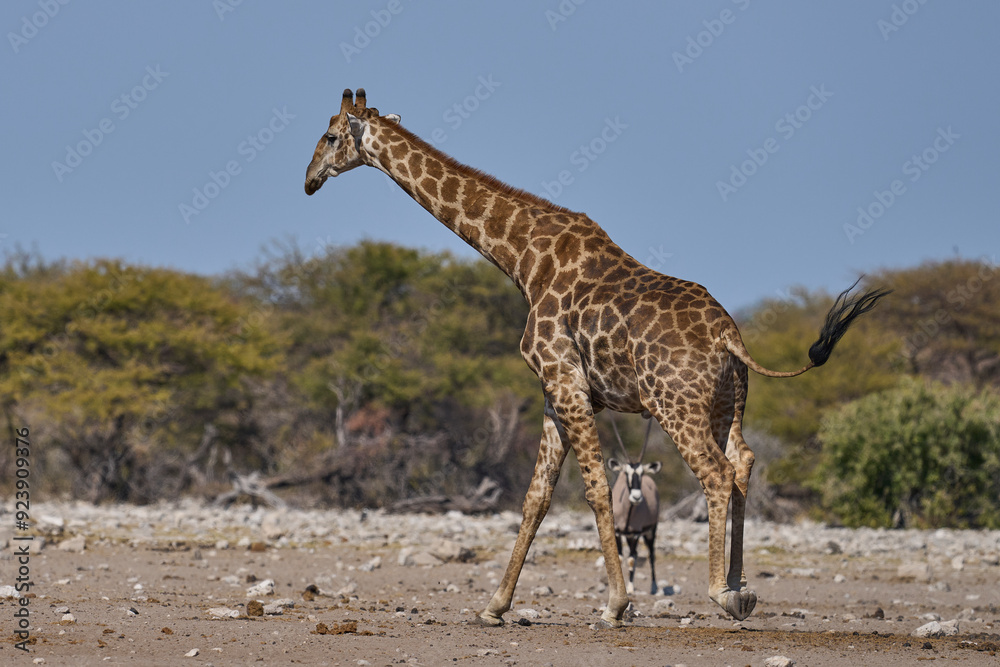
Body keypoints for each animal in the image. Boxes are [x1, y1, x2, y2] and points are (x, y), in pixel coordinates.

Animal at [304, 89, 889, 627]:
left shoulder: (565, 381)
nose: (309, 180)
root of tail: (729, 335)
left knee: (717, 472)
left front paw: (615, 604)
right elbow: (536, 497)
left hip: (676, 405)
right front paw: (494, 606)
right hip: (729, 402)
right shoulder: (556, 390)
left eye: (330, 136)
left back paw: (721, 594)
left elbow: (593, 490)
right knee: (743, 462)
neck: (522, 261)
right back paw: (743, 589)